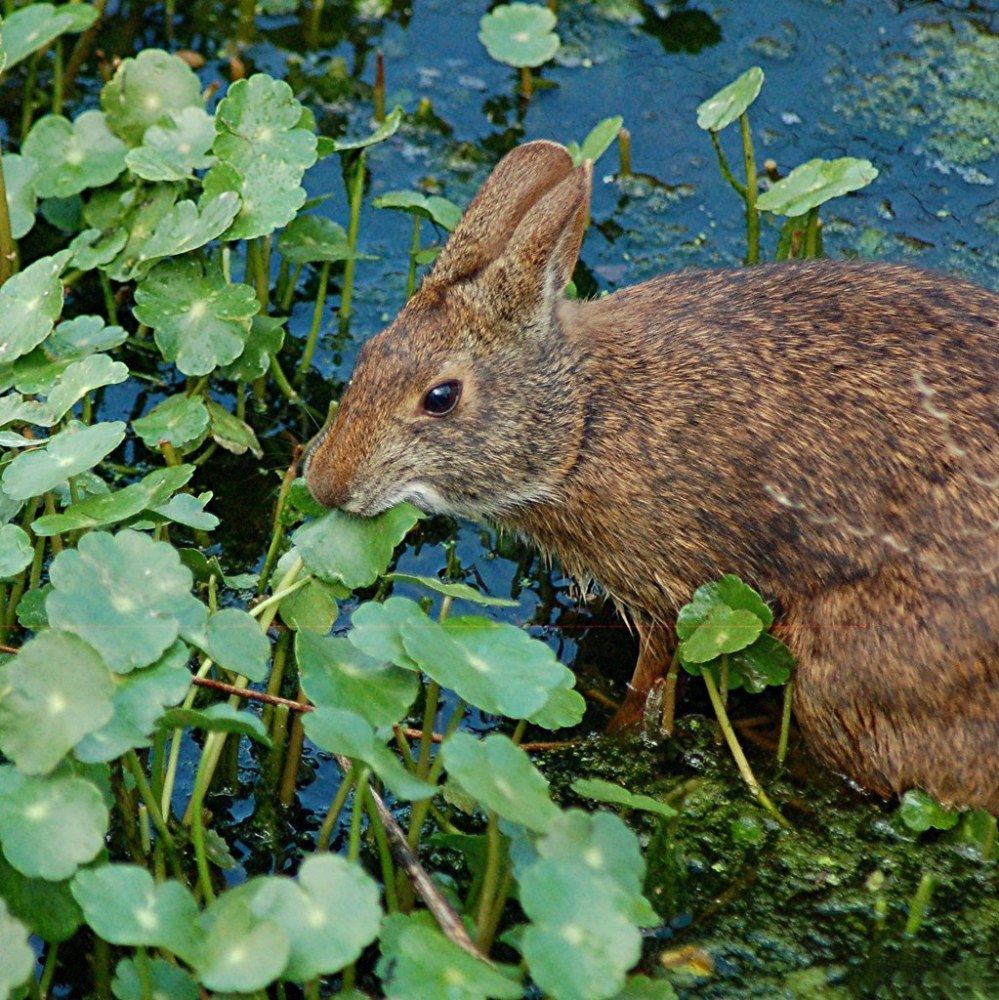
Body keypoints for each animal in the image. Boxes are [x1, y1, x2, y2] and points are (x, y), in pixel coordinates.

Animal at [306, 139, 999, 812]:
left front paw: (613, 738)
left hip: (845, 671)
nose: (325, 483)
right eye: (369, 352)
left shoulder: (670, 588)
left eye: (441, 397)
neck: (583, 419)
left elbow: (653, 672)